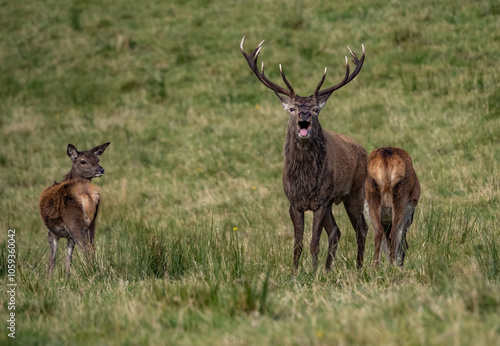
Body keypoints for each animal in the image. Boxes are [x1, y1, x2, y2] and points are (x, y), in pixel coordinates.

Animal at [38, 142, 109, 278]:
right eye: (83, 161)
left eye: (97, 159)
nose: (101, 169)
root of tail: (87, 195)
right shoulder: (70, 237)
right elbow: (68, 259)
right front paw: (67, 278)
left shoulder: (52, 232)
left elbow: (52, 259)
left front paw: (48, 279)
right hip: (92, 224)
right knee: (92, 246)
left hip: (73, 221)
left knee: (87, 248)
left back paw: (90, 272)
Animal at [240, 37, 370, 270]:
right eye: (292, 108)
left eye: (316, 109)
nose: (304, 114)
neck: (305, 182)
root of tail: (363, 149)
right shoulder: (294, 203)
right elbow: (298, 244)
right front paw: (295, 272)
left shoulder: (320, 202)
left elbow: (313, 243)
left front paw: (312, 272)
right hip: (332, 201)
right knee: (336, 231)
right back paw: (328, 269)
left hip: (355, 191)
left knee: (361, 228)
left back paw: (358, 267)